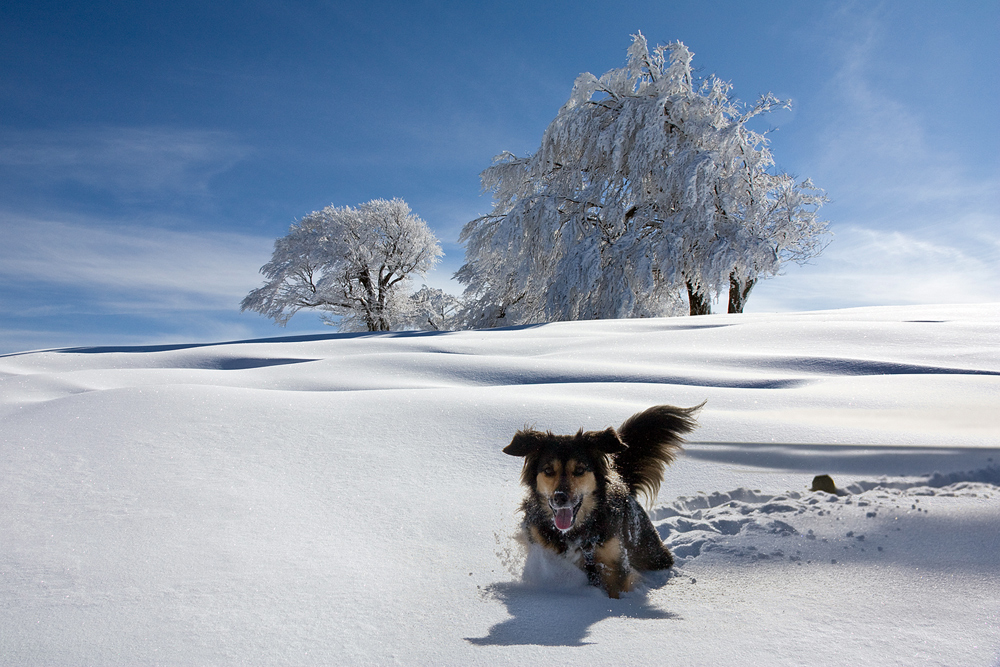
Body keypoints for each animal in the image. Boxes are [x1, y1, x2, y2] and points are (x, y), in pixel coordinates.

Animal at [500, 402, 704, 600]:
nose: (560, 497)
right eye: (548, 470)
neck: (576, 532)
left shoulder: (614, 563)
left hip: (650, 552)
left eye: (580, 470)